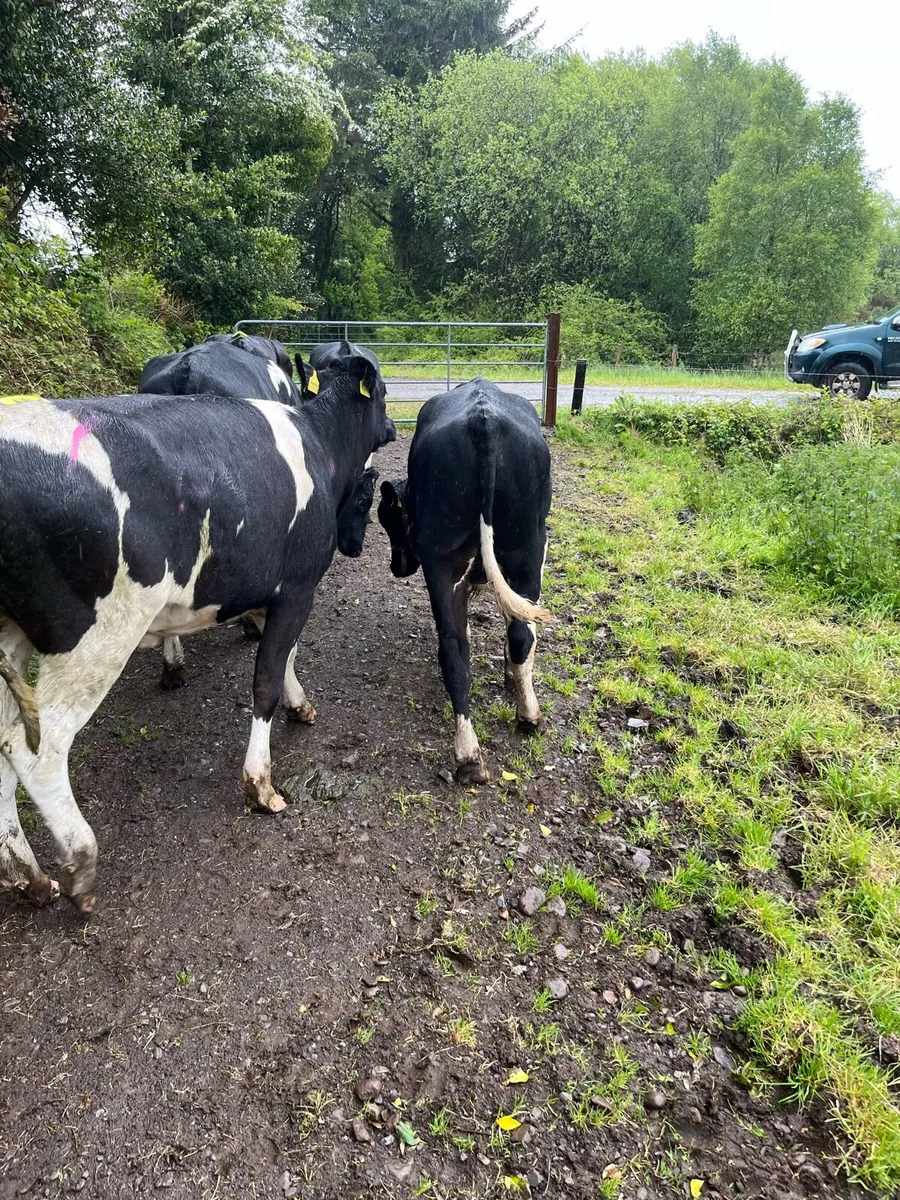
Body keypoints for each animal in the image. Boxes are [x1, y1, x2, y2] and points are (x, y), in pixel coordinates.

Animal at [0, 354, 395, 911]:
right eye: (382, 392)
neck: (319, 442)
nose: (394, 426)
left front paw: (300, 704)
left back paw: (29, 877)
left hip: (13, 635)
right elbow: (267, 678)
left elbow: (287, 659)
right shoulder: (297, 587)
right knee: (37, 750)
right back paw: (81, 863)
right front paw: (260, 784)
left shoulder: (278, 593)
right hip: (94, 638)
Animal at [377, 378, 552, 784]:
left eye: (390, 521)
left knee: (461, 647)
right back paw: (518, 721)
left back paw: (475, 753)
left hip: (470, 558)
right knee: (502, 638)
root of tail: (482, 420)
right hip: (523, 549)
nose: (397, 567)